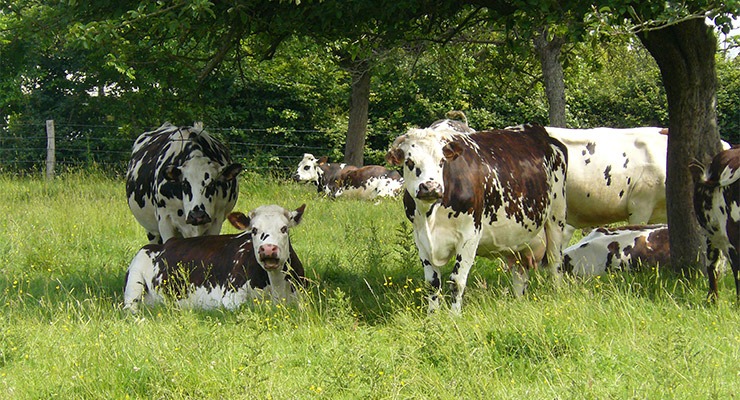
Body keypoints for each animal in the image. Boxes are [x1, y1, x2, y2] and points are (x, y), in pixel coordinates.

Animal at [123, 204, 307, 313]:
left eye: (284, 228)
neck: (277, 286)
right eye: (254, 230)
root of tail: (165, 243)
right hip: (134, 279)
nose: (267, 249)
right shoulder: (231, 299)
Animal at [386, 123, 568, 314]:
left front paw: (454, 315)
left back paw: (556, 293)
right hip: (519, 239)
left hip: (556, 218)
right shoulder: (421, 239)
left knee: (555, 262)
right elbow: (432, 283)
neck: (431, 217)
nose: (430, 187)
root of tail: (537, 130)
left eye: (441, 161)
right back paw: (518, 301)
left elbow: (457, 281)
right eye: (409, 162)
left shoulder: (470, 235)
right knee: (520, 273)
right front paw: (432, 315)